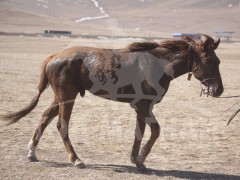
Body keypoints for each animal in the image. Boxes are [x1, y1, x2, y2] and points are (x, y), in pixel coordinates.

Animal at [1, 34, 223, 171]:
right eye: (209, 60)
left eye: (219, 61)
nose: (219, 90)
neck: (157, 64)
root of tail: (54, 56)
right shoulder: (142, 106)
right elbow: (155, 130)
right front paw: (141, 157)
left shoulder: (143, 107)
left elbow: (139, 132)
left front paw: (136, 160)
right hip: (67, 97)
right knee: (60, 125)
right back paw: (76, 159)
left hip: (61, 97)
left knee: (45, 117)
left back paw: (32, 153)